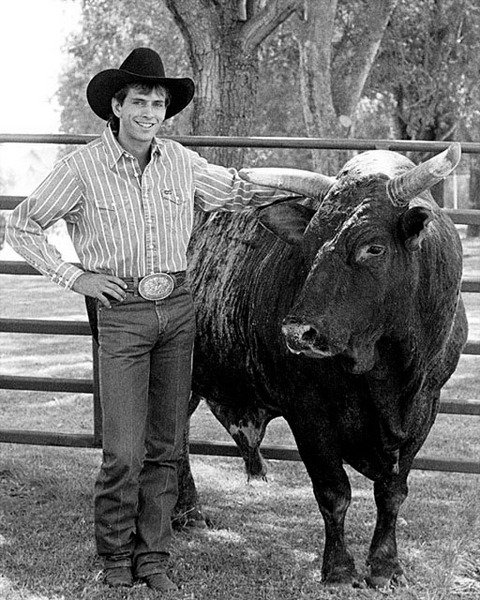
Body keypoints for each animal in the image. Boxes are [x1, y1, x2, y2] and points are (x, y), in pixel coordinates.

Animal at [86, 144, 468, 584]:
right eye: (308, 245)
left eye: (373, 247)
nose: (298, 332)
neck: (385, 374)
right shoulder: (308, 412)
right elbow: (334, 492)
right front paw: (339, 569)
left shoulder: (425, 408)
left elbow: (392, 493)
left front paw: (386, 567)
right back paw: (185, 512)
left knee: (176, 435)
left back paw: (187, 513)